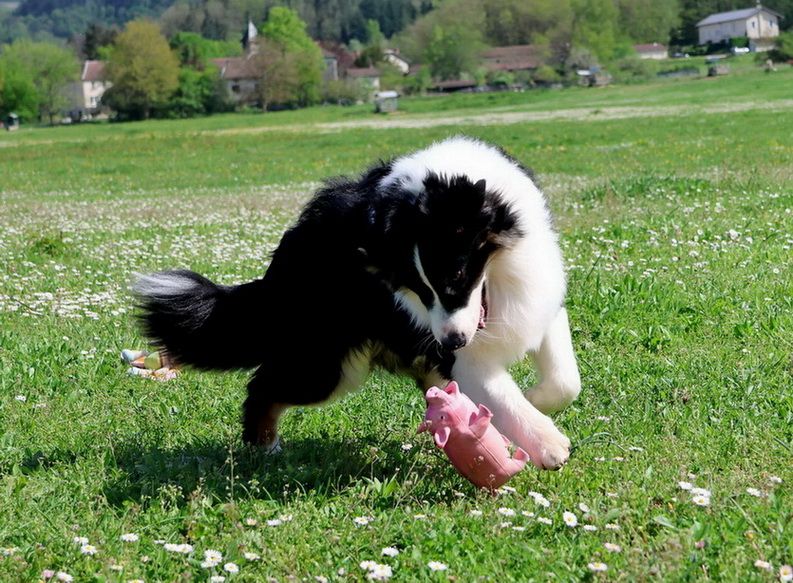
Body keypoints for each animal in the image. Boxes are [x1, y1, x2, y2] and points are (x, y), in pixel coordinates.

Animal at [135, 137, 580, 470]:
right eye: (417, 289)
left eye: (455, 275)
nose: (451, 341)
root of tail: (283, 261)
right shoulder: (460, 354)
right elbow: (503, 394)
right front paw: (549, 444)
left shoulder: (542, 303)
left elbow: (566, 381)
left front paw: (537, 400)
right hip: (326, 364)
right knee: (264, 386)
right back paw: (264, 446)